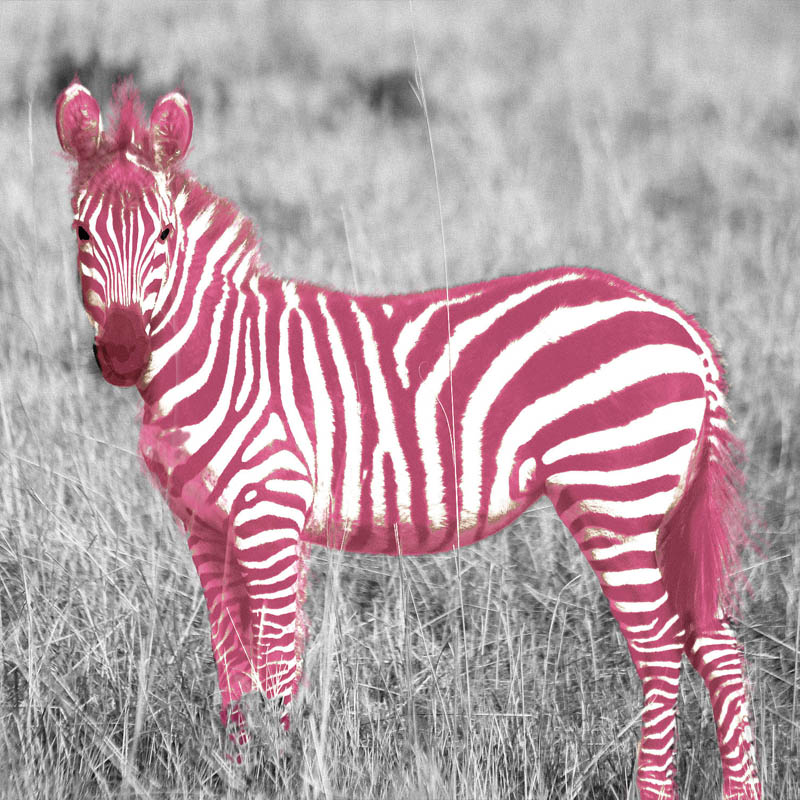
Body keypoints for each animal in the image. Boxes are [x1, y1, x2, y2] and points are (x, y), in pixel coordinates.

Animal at [55, 80, 761, 800]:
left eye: (165, 235)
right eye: (80, 231)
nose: (123, 353)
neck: (214, 355)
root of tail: (685, 329)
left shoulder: (269, 511)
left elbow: (278, 658)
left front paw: (279, 773)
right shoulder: (203, 523)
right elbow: (231, 658)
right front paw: (236, 771)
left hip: (615, 496)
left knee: (662, 651)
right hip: (662, 508)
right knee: (716, 645)